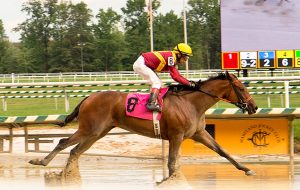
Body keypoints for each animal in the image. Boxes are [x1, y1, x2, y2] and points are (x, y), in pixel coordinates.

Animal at [28, 71, 258, 178]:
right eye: (241, 88)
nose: (254, 107)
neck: (190, 103)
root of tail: (89, 97)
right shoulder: (176, 136)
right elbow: (171, 162)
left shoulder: (199, 133)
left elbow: (222, 151)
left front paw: (247, 169)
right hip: (89, 129)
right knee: (64, 143)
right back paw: (42, 162)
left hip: (98, 132)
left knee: (75, 150)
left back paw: (67, 174)